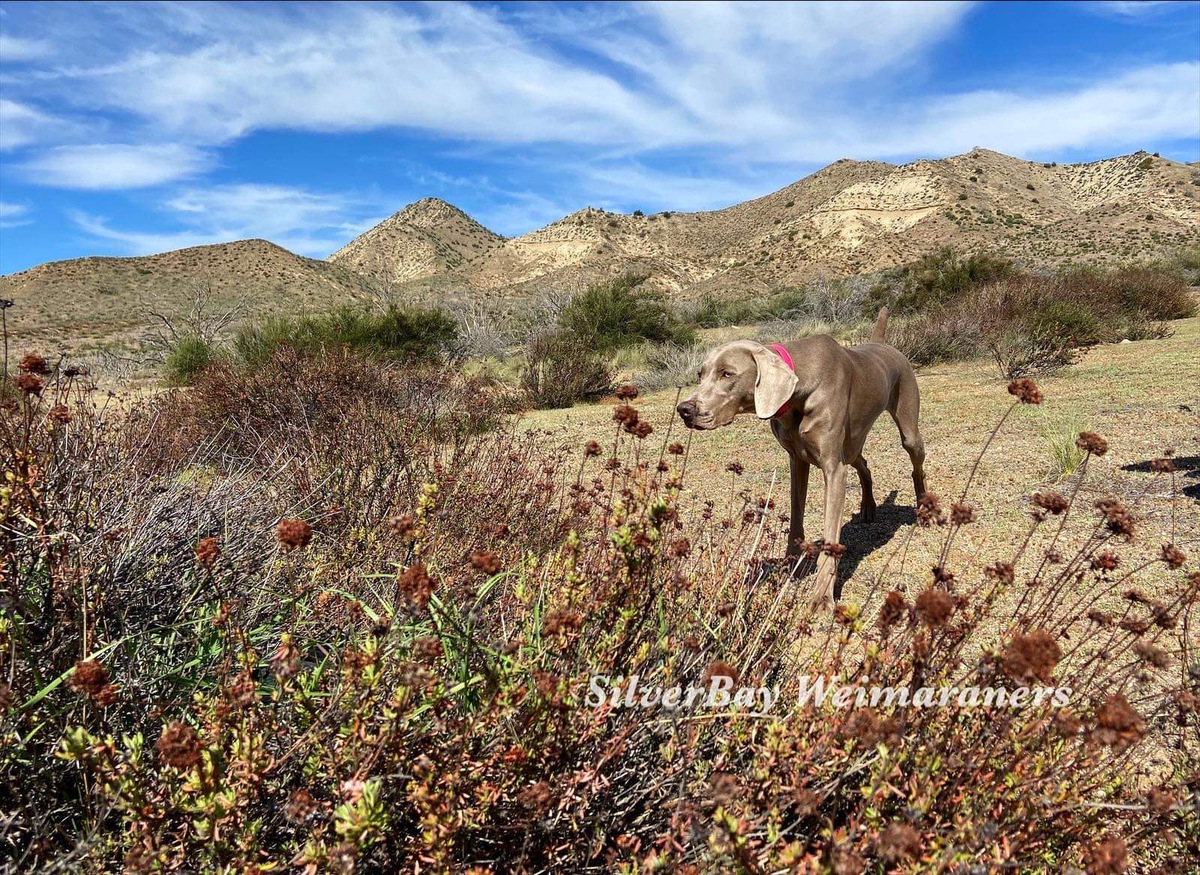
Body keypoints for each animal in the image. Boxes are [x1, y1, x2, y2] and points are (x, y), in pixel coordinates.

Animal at [676, 309, 926, 612]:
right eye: (700, 375)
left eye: (727, 374)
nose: (684, 410)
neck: (799, 391)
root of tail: (884, 344)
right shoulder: (798, 460)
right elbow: (796, 516)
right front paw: (789, 567)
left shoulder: (833, 468)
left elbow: (829, 540)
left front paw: (821, 596)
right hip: (852, 444)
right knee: (863, 463)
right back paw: (867, 507)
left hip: (906, 426)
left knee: (915, 464)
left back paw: (923, 506)